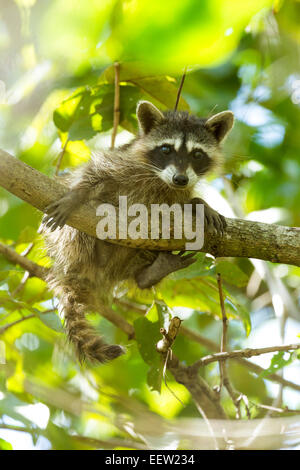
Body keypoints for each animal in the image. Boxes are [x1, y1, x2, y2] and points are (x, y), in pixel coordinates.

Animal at [42, 100, 234, 364]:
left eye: (197, 154)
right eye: (166, 149)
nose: (180, 178)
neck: (161, 179)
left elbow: (182, 202)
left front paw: (200, 204)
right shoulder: (121, 162)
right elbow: (94, 172)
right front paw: (77, 194)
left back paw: (149, 273)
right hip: (72, 242)